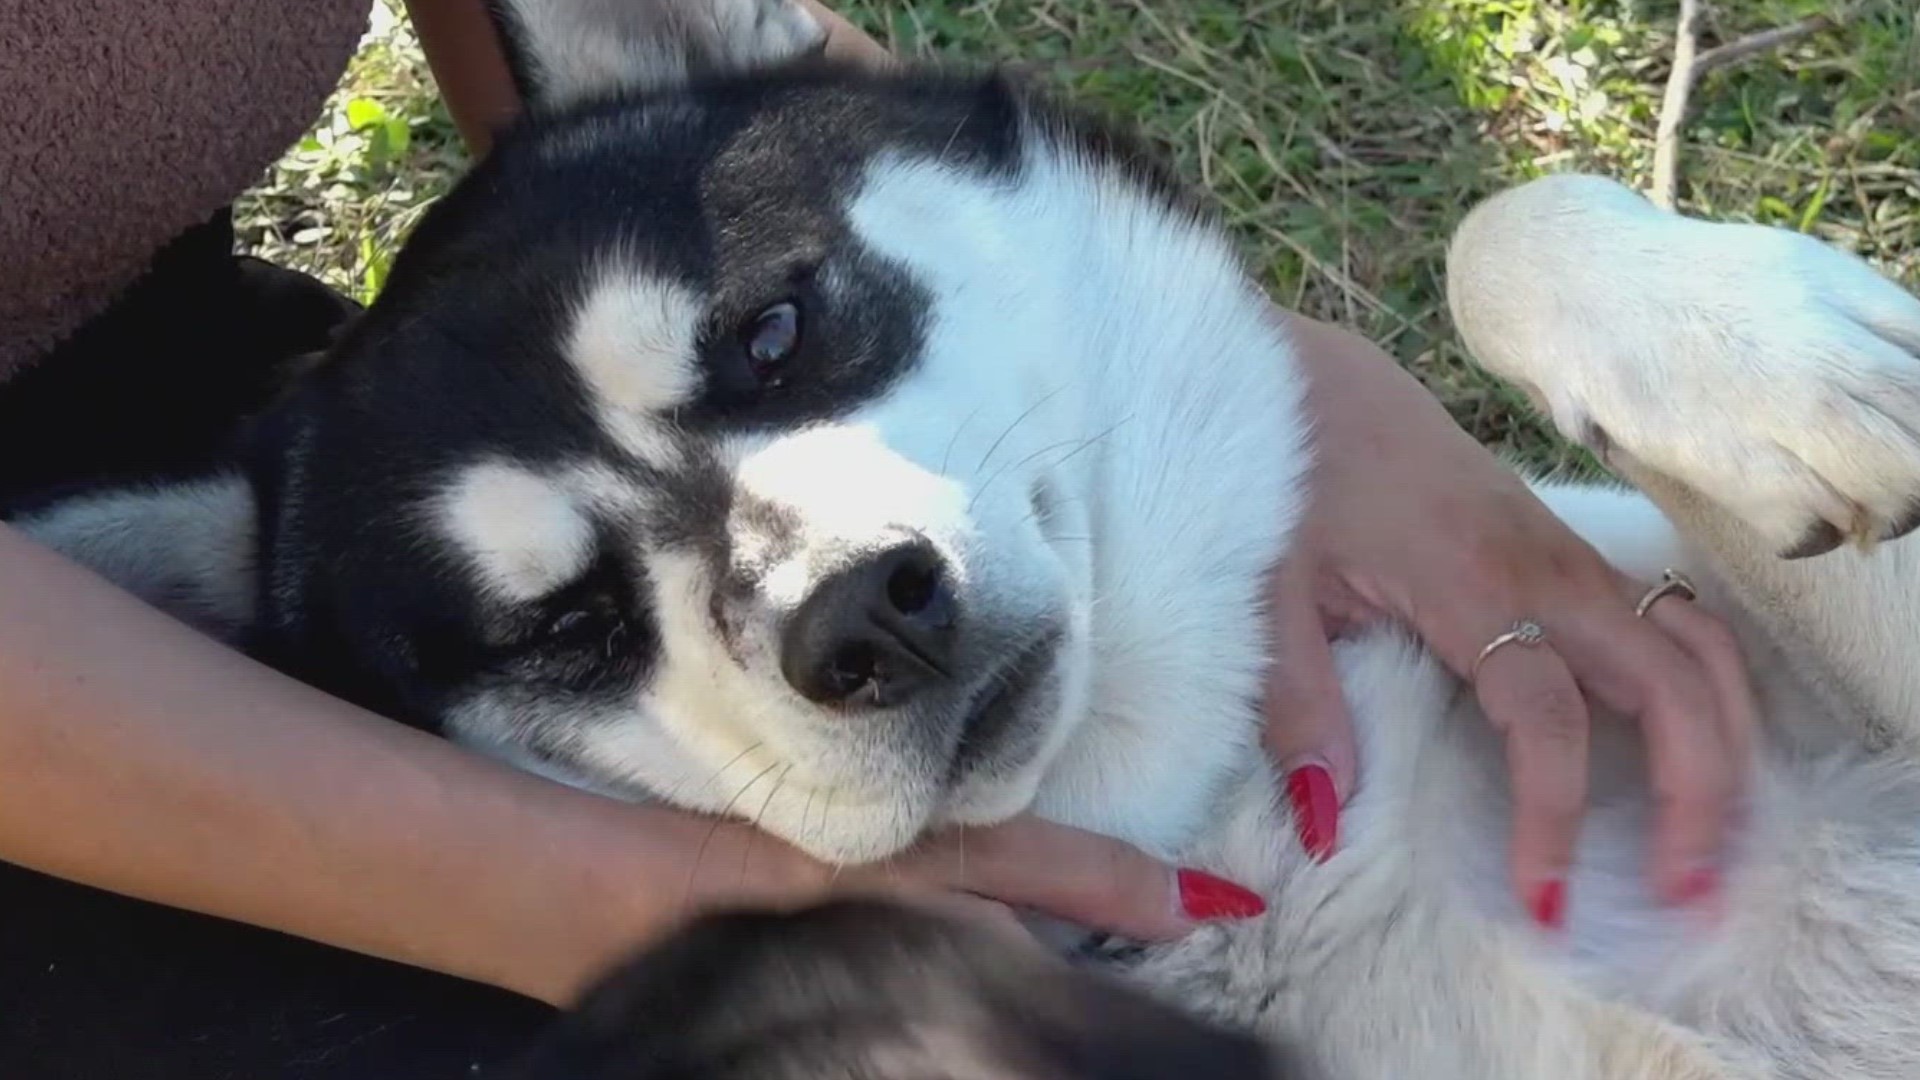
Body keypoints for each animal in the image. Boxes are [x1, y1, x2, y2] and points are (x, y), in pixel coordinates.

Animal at [11, 0, 1920, 1068]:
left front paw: (1768, 354)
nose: (865, 618)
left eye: (771, 334)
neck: (1236, 814)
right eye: (565, 630)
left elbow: (1496, 228)